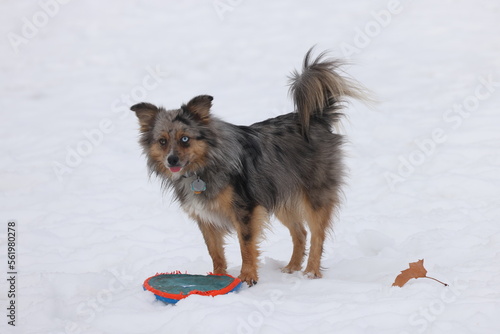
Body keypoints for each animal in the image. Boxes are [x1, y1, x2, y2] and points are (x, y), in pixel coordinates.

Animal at [132, 48, 368, 286]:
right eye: (162, 141)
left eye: (185, 139)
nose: (171, 160)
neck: (203, 167)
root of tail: (315, 119)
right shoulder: (206, 218)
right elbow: (215, 251)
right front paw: (217, 277)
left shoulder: (245, 209)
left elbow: (245, 245)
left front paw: (247, 277)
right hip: (279, 195)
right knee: (300, 232)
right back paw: (292, 267)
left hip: (314, 195)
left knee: (317, 235)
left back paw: (311, 272)